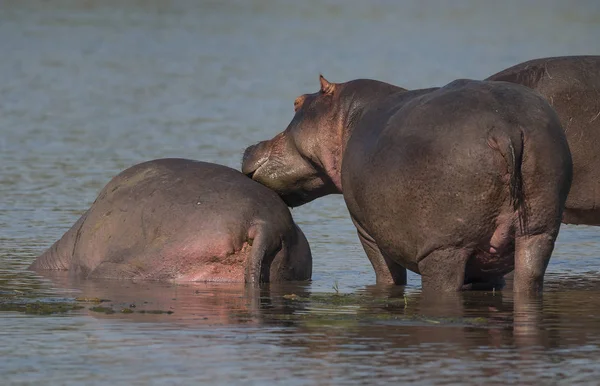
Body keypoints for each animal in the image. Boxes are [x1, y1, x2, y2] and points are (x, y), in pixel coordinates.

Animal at [243, 75, 572, 292]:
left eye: (297, 102)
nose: (250, 147)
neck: (346, 117)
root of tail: (505, 127)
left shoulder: (365, 229)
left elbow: (387, 274)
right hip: (539, 232)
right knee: (530, 272)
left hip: (444, 248)